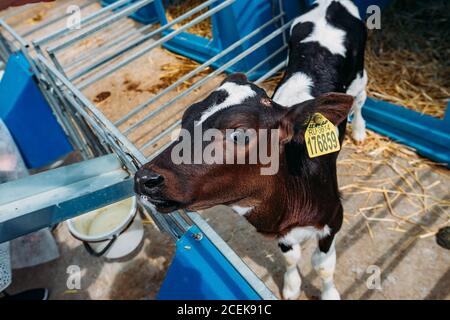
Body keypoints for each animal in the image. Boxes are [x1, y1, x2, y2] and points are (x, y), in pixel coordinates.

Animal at [135, 0, 368, 300]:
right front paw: (291, 286)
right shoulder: (282, 230)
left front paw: (329, 294)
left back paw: (359, 131)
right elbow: (290, 257)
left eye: (239, 134)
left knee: (359, 101)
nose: (144, 178)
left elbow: (323, 266)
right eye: (185, 119)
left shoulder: (334, 217)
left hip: (361, 76)